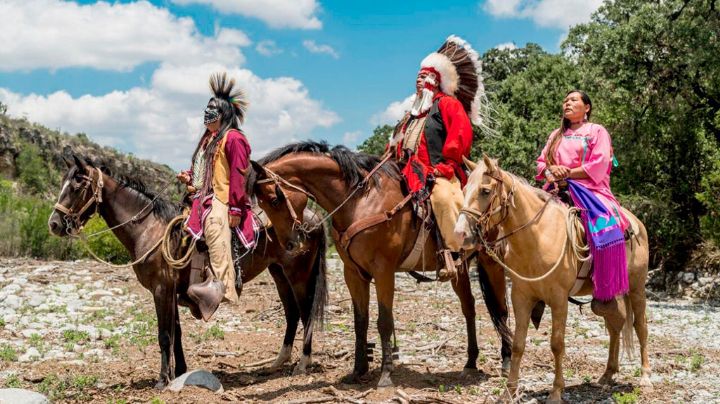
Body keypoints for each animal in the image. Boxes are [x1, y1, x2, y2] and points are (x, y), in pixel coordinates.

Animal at [45, 155, 326, 388]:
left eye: (76, 186)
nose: (54, 224)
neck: (150, 229)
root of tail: (312, 217)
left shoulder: (161, 290)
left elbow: (164, 335)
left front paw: (162, 380)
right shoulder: (171, 291)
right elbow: (176, 334)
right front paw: (179, 372)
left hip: (298, 275)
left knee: (305, 311)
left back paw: (303, 363)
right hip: (278, 273)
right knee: (291, 313)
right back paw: (279, 362)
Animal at [248, 141, 512, 388]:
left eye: (274, 199)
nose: (291, 244)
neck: (361, 201)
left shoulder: (384, 271)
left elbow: (384, 321)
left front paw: (385, 375)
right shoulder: (353, 273)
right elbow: (360, 321)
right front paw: (358, 371)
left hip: (492, 262)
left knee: (501, 309)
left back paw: (507, 361)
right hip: (460, 270)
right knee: (469, 307)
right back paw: (470, 362)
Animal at [456, 156, 652, 402]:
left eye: (485, 191)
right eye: (464, 190)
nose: (460, 234)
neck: (538, 236)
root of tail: (637, 223)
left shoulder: (559, 300)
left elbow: (557, 344)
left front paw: (556, 391)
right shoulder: (521, 297)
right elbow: (518, 344)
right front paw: (509, 391)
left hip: (636, 288)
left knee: (639, 325)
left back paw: (645, 376)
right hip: (606, 294)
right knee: (615, 322)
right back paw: (607, 374)